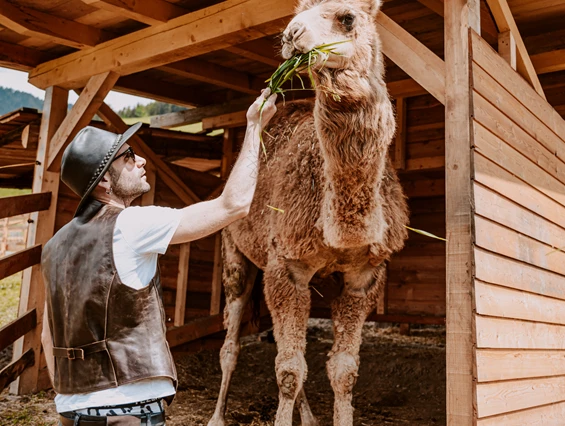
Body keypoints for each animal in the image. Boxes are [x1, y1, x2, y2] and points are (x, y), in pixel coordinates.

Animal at [206, 1, 406, 424]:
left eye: (347, 17)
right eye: (298, 13)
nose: (291, 34)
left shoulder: (363, 276)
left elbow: (343, 371)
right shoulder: (287, 265)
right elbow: (288, 370)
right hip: (235, 253)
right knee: (231, 344)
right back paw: (217, 416)